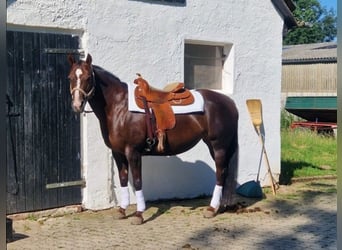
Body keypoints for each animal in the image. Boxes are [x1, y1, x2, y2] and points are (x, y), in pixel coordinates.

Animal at [67, 53, 238, 225]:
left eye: (88, 77)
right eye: (70, 77)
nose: (77, 105)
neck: (119, 106)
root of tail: (229, 102)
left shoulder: (133, 152)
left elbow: (137, 181)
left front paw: (139, 214)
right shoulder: (118, 152)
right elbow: (123, 179)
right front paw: (122, 210)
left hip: (218, 146)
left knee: (220, 172)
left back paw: (211, 208)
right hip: (213, 145)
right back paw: (220, 206)